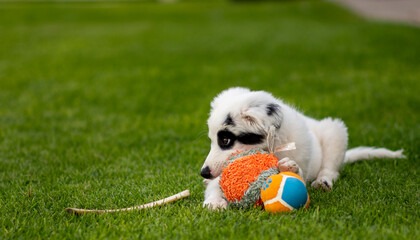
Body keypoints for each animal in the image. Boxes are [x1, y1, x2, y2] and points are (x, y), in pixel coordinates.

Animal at [202, 87, 406, 209]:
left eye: (226, 140)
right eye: (212, 139)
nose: (203, 173)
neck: (275, 146)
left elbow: (297, 173)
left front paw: (289, 167)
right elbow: (215, 186)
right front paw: (214, 202)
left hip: (335, 131)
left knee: (331, 170)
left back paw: (323, 181)